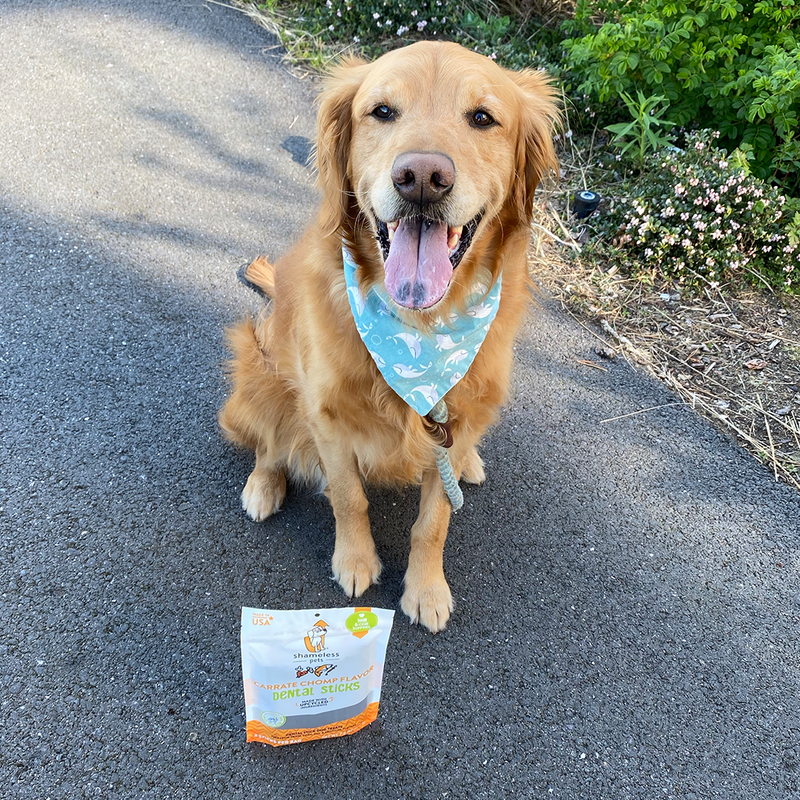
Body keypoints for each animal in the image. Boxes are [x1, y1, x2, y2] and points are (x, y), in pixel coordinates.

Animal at [219, 41, 558, 632]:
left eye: (482, 118)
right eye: (381, 111)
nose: (422, 176)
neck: (419, 336)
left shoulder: (455, 424)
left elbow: (434, 521)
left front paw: (426, 588)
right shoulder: (327, 416)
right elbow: (349, 497)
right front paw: (355, 562)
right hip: (255, 371)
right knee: (269, 441)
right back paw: (263, 485)